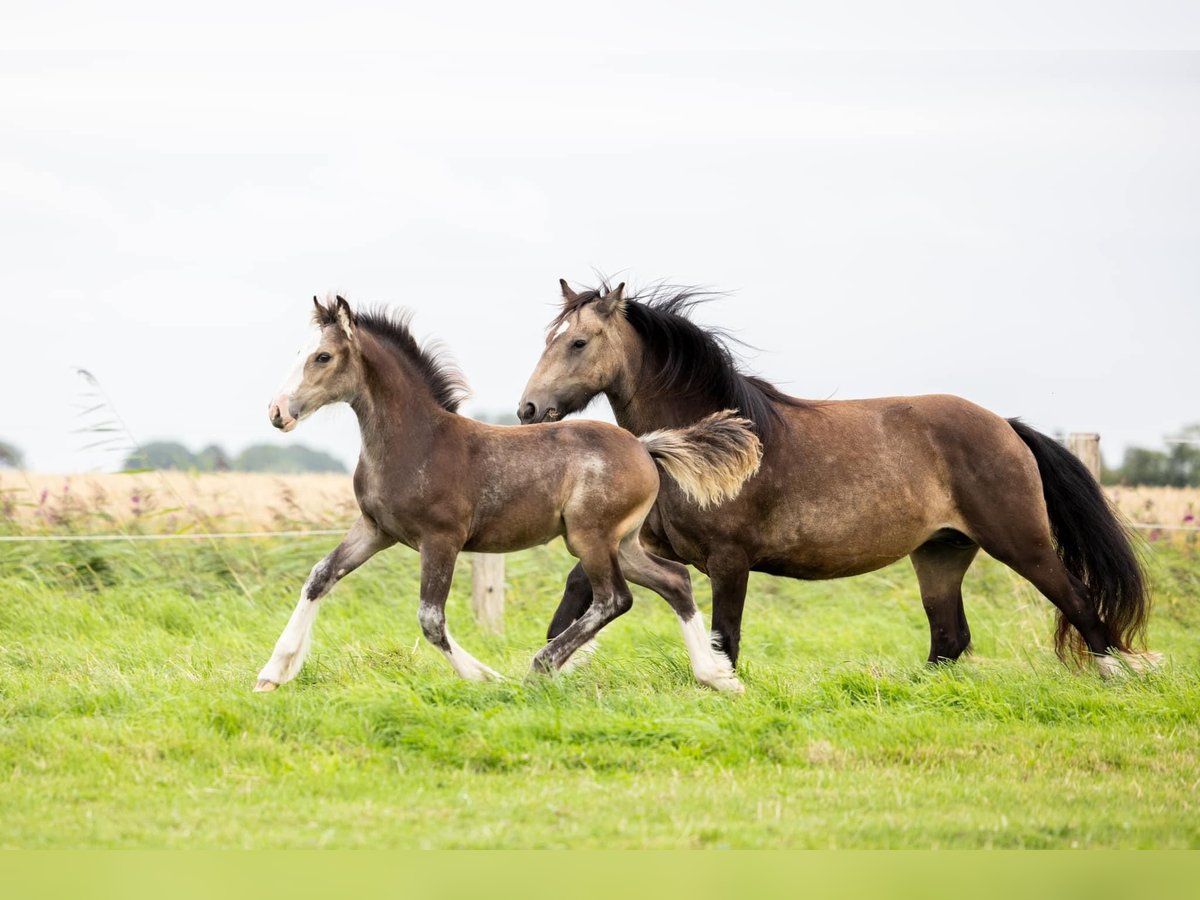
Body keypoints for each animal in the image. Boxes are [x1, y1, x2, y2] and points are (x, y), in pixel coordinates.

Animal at [255, 300, 758, 696]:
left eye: (323, 356)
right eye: (300, 353)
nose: (278, 411)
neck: (418, 441)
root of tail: (645, 446)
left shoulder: (441, 539)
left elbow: (431, 619)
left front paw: (485, 677)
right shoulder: (375, 530)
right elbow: (320, 577)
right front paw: (273, 673)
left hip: (590, 537)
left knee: (615, 598)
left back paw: (541, 667)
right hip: (624, 542)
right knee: (675, 581)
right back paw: (718, 677)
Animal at [518, 280, 1161, 676]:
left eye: (578, 343)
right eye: (548, 340)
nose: (527, 410)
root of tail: (1006, 426)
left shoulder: (729, 560)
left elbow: (727, 636)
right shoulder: (647, 542)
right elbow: (580, 587)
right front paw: (557, 657)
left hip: (1020, 542)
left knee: (1080, 604)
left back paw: (1118, 680)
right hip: (941, 552)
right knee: (949, 638)